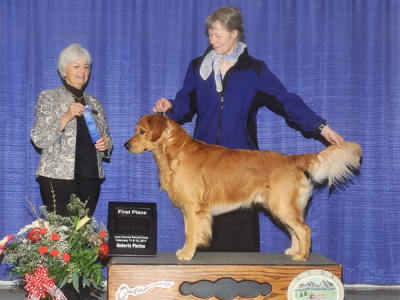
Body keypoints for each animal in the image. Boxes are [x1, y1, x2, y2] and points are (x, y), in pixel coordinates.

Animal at [125, 113, 362, 262]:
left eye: (142, 131)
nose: (126, 145)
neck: (176, 152)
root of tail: (292, 159)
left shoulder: (194, 207)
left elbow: (191, 232)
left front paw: (187, 254)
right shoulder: (189, 209)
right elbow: (187, 231)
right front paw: (185, 251)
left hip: (283, 205)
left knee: (304, 229)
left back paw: (303, 256)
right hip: (280, 207)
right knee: (295, 230)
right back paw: (293, 251)